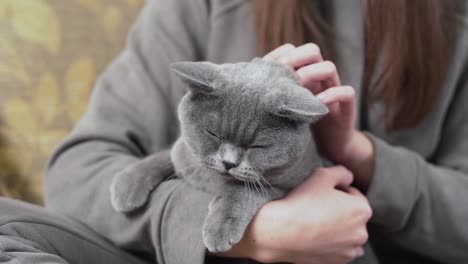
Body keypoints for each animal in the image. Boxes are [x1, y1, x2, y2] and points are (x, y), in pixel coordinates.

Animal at [109, 58, 330, 253]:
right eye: (214, 134)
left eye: (256, 146)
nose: (228, 162)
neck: (212, 181)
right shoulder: (182, 153)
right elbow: (164, 157)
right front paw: (126, 186)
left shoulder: (288, 183)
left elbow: (240, 190)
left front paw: (220, 229)